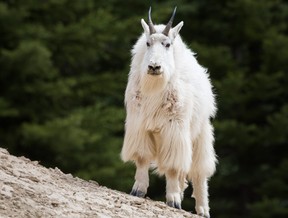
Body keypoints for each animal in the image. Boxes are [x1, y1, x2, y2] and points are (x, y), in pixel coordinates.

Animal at [120, 7, 217, 218]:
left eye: (167, 44)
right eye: (148, 43)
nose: (154, 67)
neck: (155, 88)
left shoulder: (175, 129)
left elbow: (173, 166)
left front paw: (173, 200)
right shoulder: (139, 125)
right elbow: (142, 157)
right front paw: (138, 190)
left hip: (200, 132)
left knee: (199, 171)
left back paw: (202, 209)